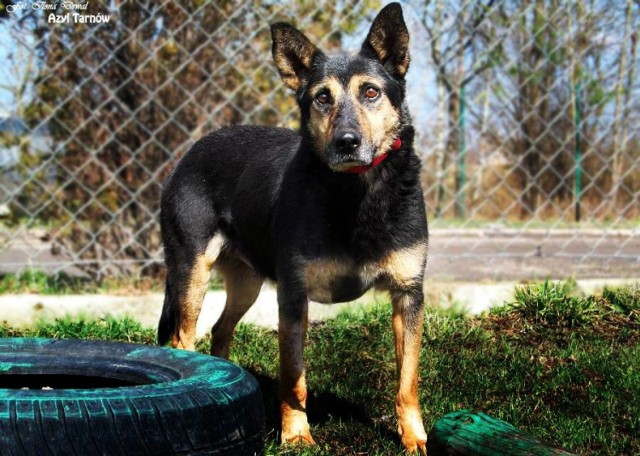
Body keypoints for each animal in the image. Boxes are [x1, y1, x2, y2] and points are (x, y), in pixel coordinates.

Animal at [158, 3, 430, 452]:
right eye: (322, 98)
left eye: (371, 92)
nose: (347, 142)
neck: (355, 194)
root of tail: (192, 152)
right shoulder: (293, 294)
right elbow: (293, 377)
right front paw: (296, 434)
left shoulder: (408, 294)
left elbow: (407, 379)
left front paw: (414, 438)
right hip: (192, 273)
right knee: (184, 339)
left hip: (246, 282)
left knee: (220, 330)